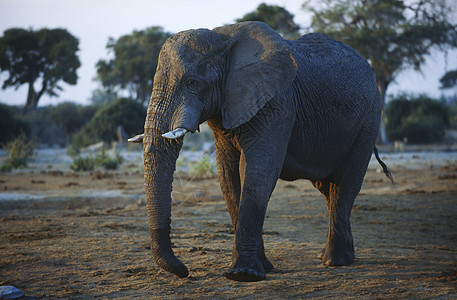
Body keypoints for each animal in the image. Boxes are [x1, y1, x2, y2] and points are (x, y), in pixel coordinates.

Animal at [128, 21, 392, 282]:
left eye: (192, 83)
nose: (185, 271)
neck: (222, 37)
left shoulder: (277, 102)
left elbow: (258, 170)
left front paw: (243, 274)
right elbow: (228, 176)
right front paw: (262, 267)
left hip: (369, 118)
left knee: (345, 184)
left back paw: (335, 261)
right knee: (328, 188)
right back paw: (332, 256)